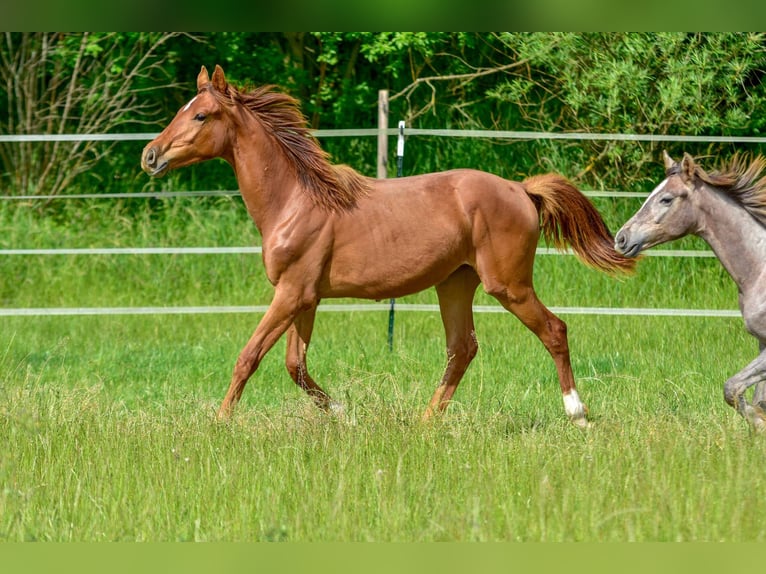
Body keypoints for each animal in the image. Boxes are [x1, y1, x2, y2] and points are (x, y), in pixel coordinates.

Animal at [141, 65, 635, 427]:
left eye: (200, 115)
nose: (150, 155)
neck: (294, 201)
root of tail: (521, 189)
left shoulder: (291, 293)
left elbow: (249, 357)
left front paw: (220, 422)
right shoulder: (306, 298)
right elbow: (295, 364)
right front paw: (344, 413)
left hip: (507, 285)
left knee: (553, 330)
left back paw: (577, 413)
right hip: (455, 283)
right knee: (462, 349)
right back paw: (425, 421)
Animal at [615, 151, 766, 430]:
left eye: (666, 198)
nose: (621, 238)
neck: (759, 271)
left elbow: (731, 388)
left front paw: (758, 423)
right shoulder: (762, 343)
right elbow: (753, 396)